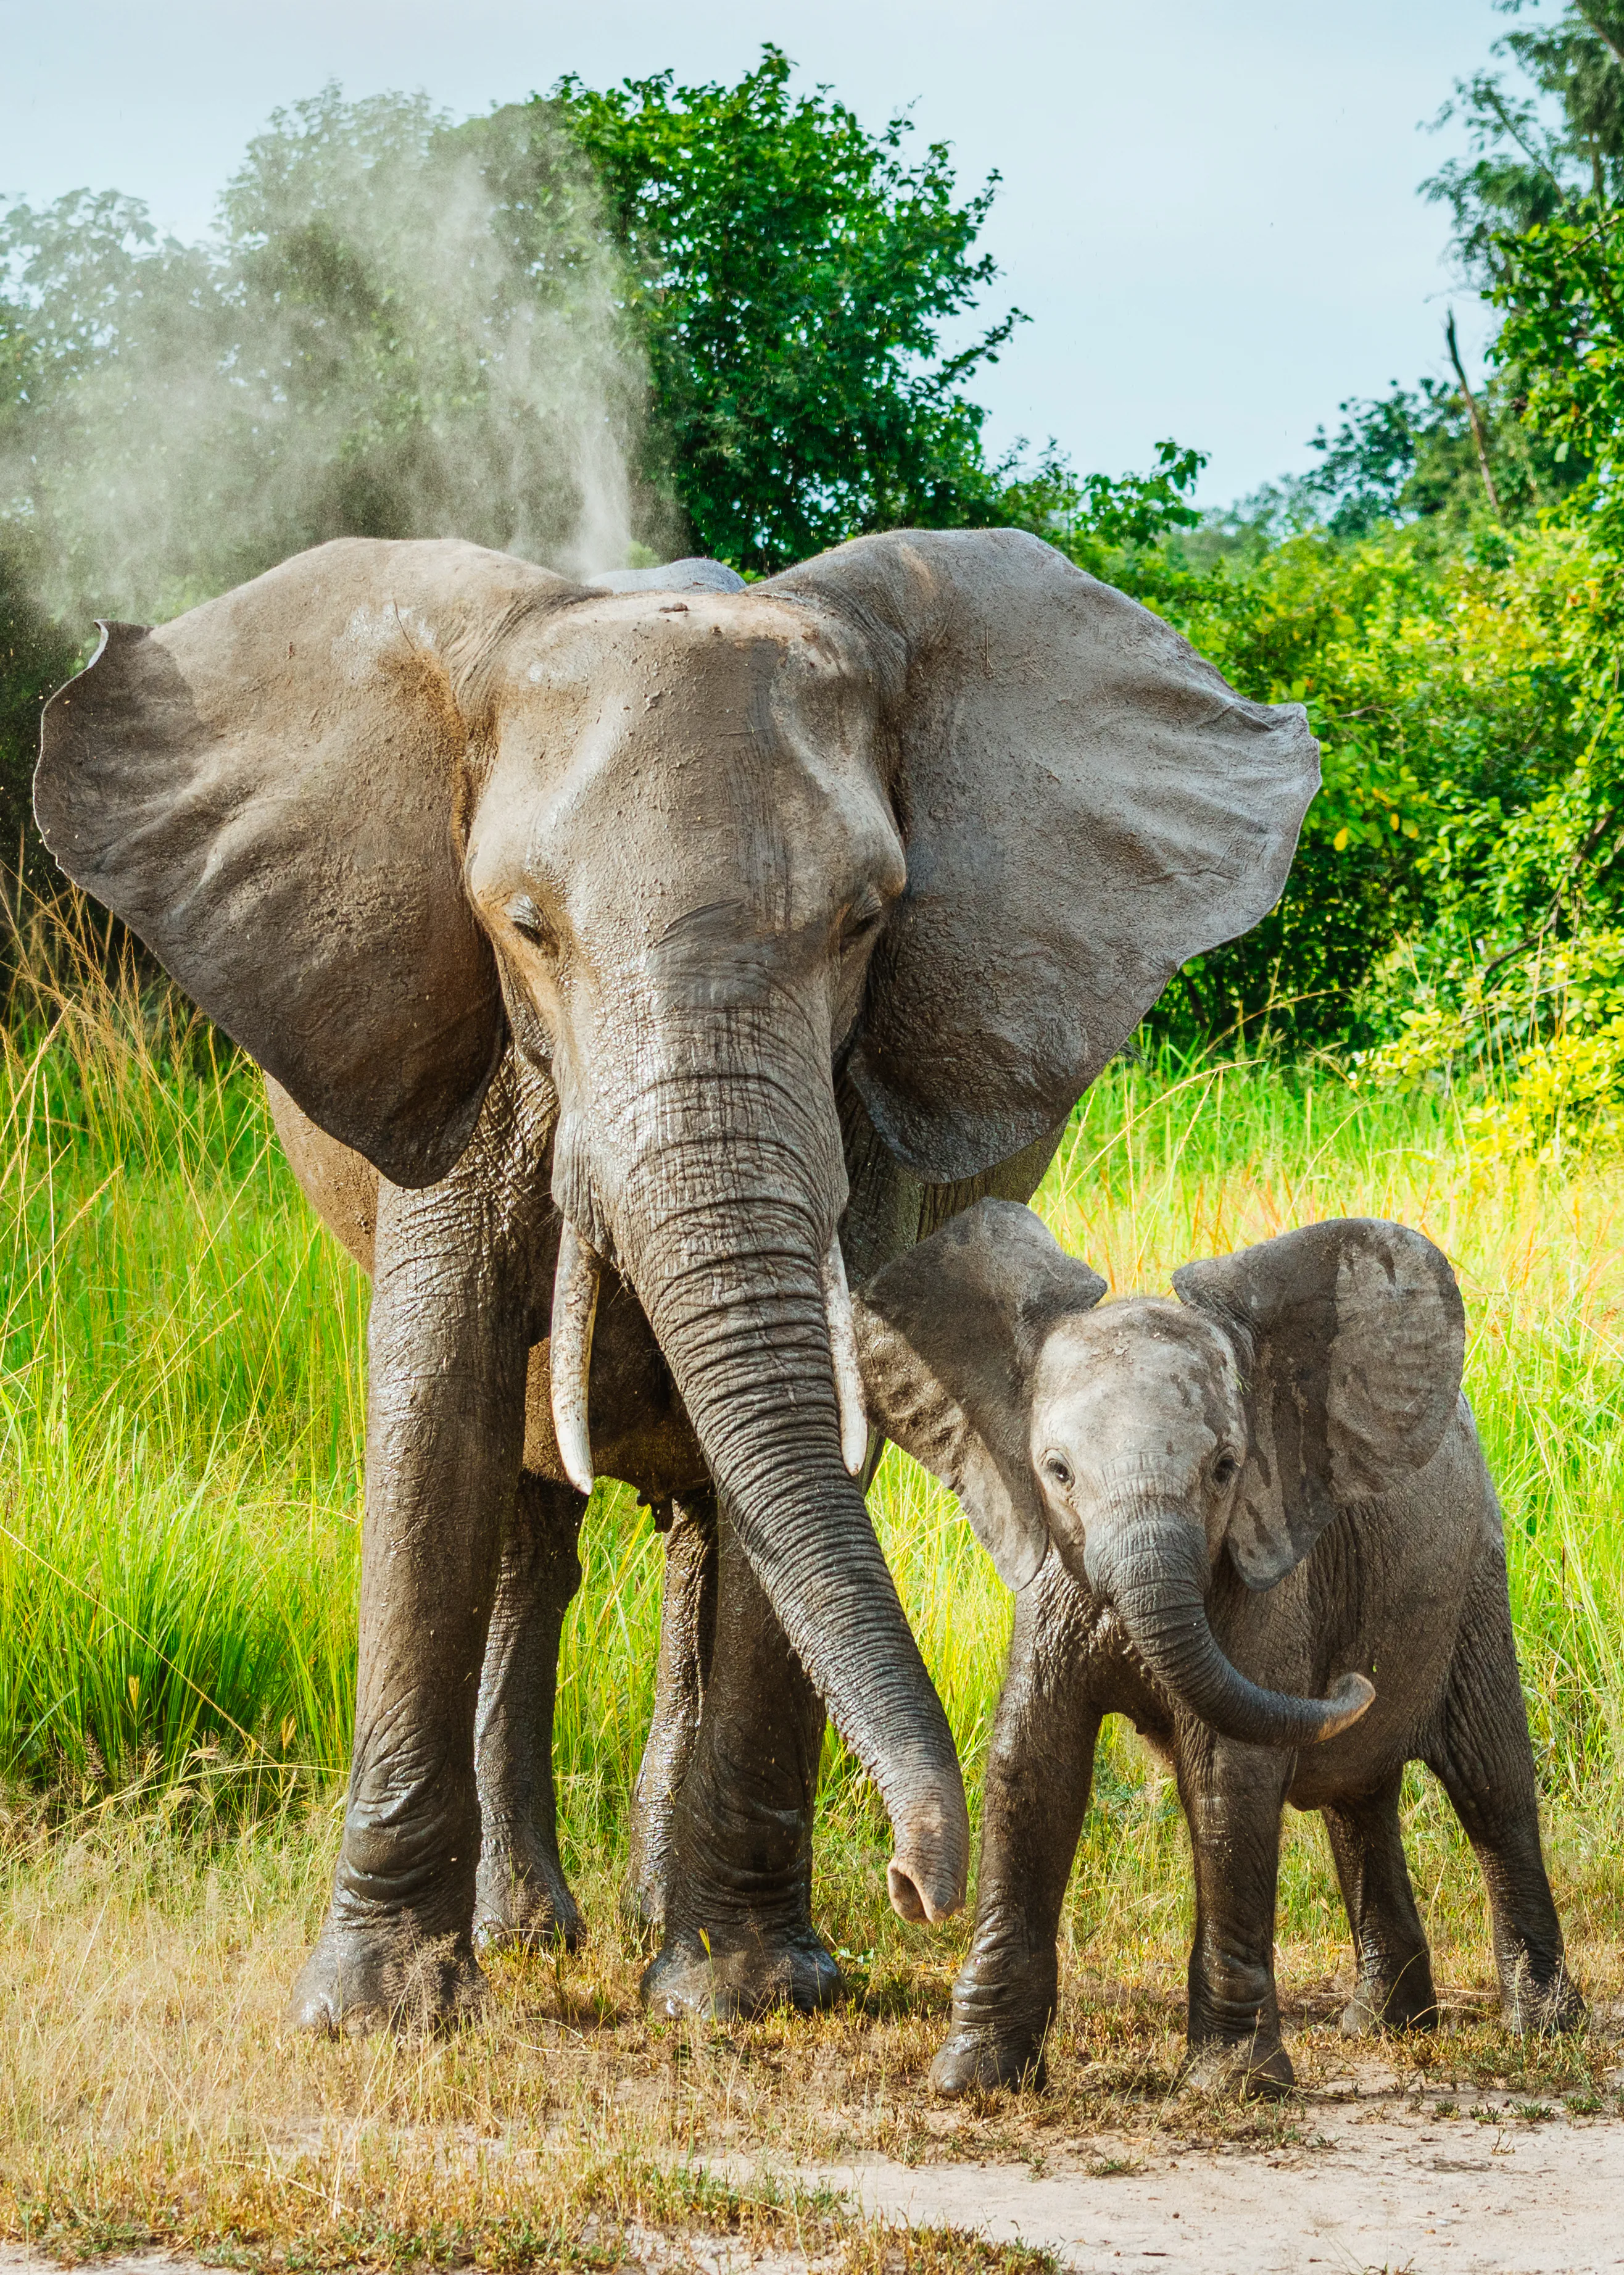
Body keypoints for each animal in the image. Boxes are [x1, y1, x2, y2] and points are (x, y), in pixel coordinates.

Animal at [34, 526, 1320, 2035]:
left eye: (865, 920)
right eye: (523, 924)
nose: (918, 1886)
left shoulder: (856, 1102)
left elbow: (815, 1430)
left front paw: (745, 1994)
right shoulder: (459, 1051)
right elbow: (434, 1414)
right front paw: (378, 2012)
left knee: (709, 1518)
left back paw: (663, 1923)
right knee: (530, 1531)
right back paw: (531, 1930)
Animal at [854, 1201, 1584, 2097]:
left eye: (1226, 1467)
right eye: (1055, 1471)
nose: (907, 1893)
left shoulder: (1267, 1565)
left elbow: (1230, 1776)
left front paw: (1232, 2085)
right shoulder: (1053, 1575)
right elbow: (1032, 1764)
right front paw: (973, 2076)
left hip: (1477, 1568)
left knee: (1492, 1784)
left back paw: (1542, 2025)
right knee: (1356, 1796)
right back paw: (1382, 2021)